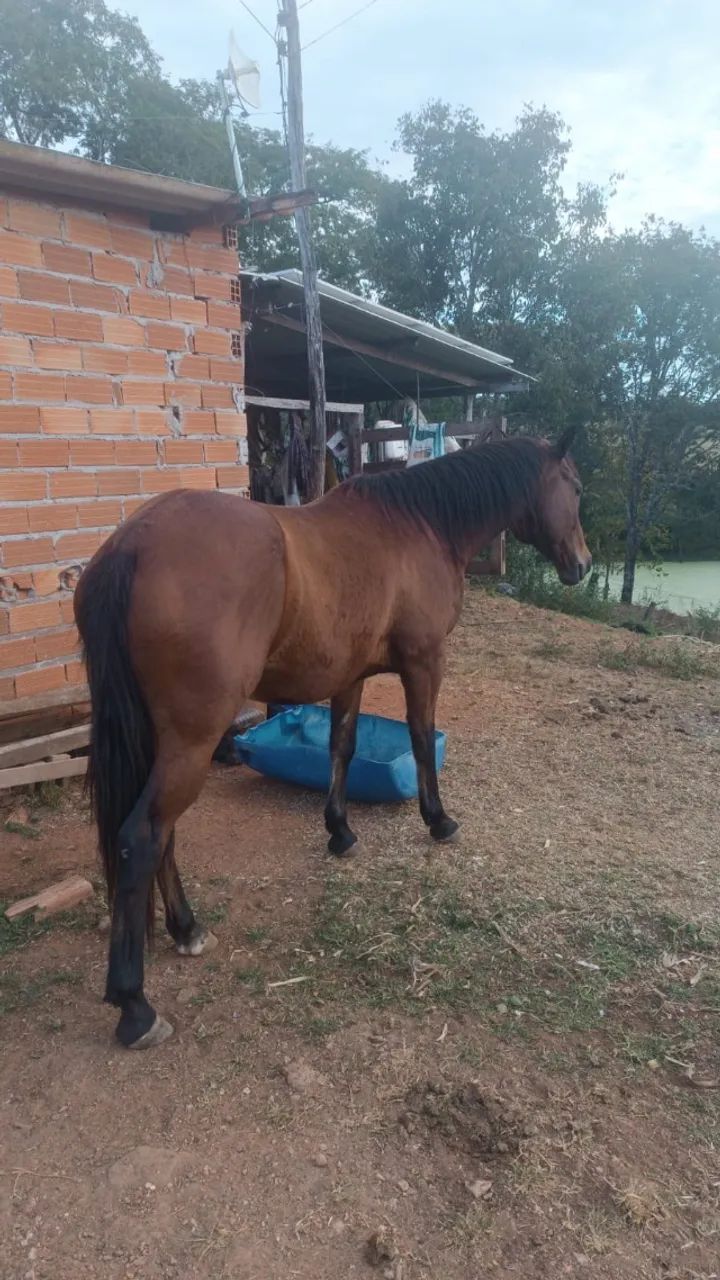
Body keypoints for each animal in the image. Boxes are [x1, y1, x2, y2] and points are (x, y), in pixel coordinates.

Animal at [75, 429, 591, 1050]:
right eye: (576, 487)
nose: (583, 565)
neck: (420, 525)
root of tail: (134, 543)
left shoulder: (351, 676)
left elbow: (341, 748)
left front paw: (340, 831)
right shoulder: (425, 663)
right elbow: (422, 738)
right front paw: (439, 820)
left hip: (166, 740)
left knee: (161, 835)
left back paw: (187, 929)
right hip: (192, 740)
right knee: (142, 837)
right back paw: (135, 1005)